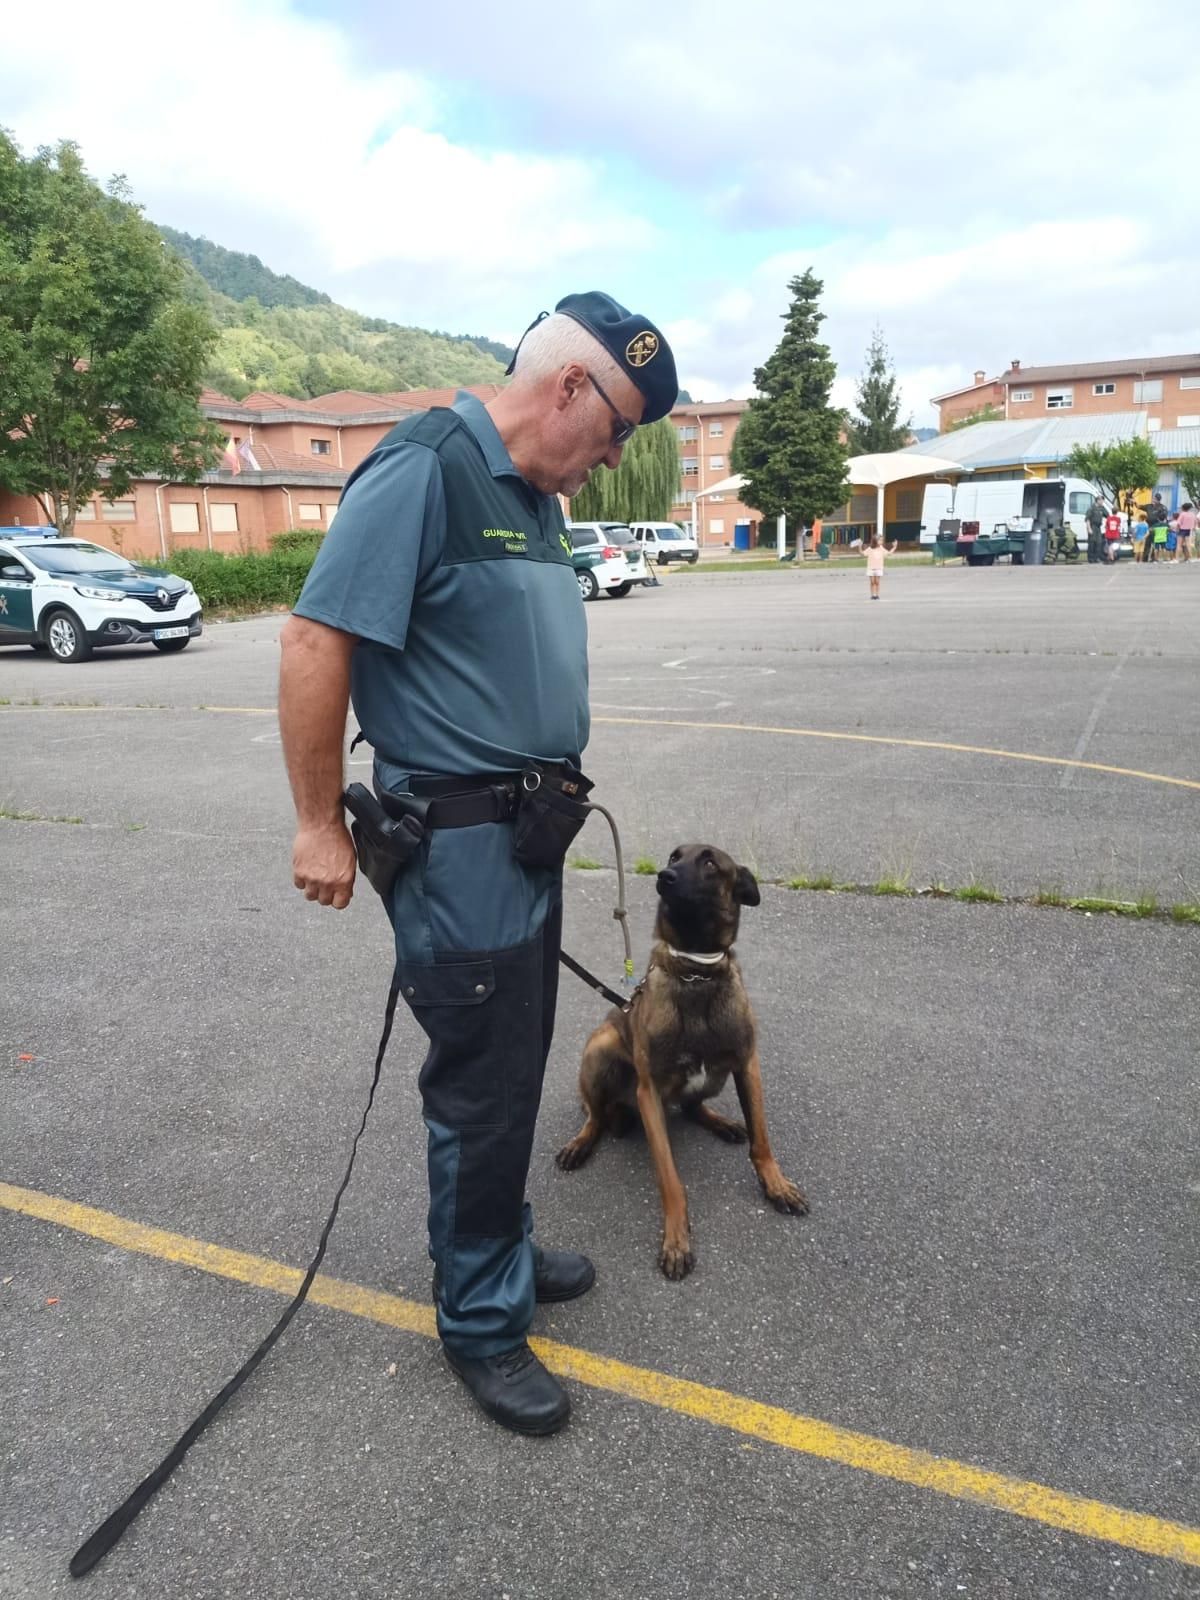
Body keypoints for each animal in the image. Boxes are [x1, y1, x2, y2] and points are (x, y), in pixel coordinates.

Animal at [556, 844, 809, 1280]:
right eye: (674, 856)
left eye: (709, 863)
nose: (664, 875)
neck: (696, 971)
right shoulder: (649, 1093)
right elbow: (671, 1180)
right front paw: (676, 1239)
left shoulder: (747, 1064)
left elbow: (761, 1139)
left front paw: (776, 1185)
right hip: (601, 1048)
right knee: (595, 1115)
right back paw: (582, 1141)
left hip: (716, 1075)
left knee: (691, 1107)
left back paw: (721, 1122)